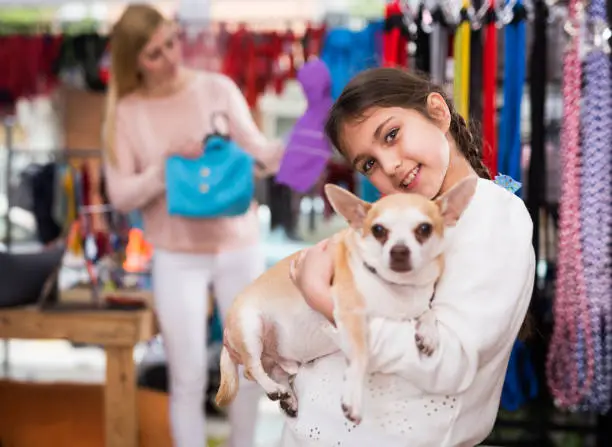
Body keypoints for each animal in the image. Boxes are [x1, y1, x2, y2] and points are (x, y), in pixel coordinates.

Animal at [215, 177, 478, 426]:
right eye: (378, 230)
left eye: (424, 229)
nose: (399, 250)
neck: (394, 288)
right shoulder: (349, 315)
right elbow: (360, 354)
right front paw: (353, 400)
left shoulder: (416, 304)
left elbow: (428, 312)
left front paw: (429, 333)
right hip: (250, 326)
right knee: (252, 368)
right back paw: (274, 389)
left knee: (273, 371)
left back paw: (287, 397)